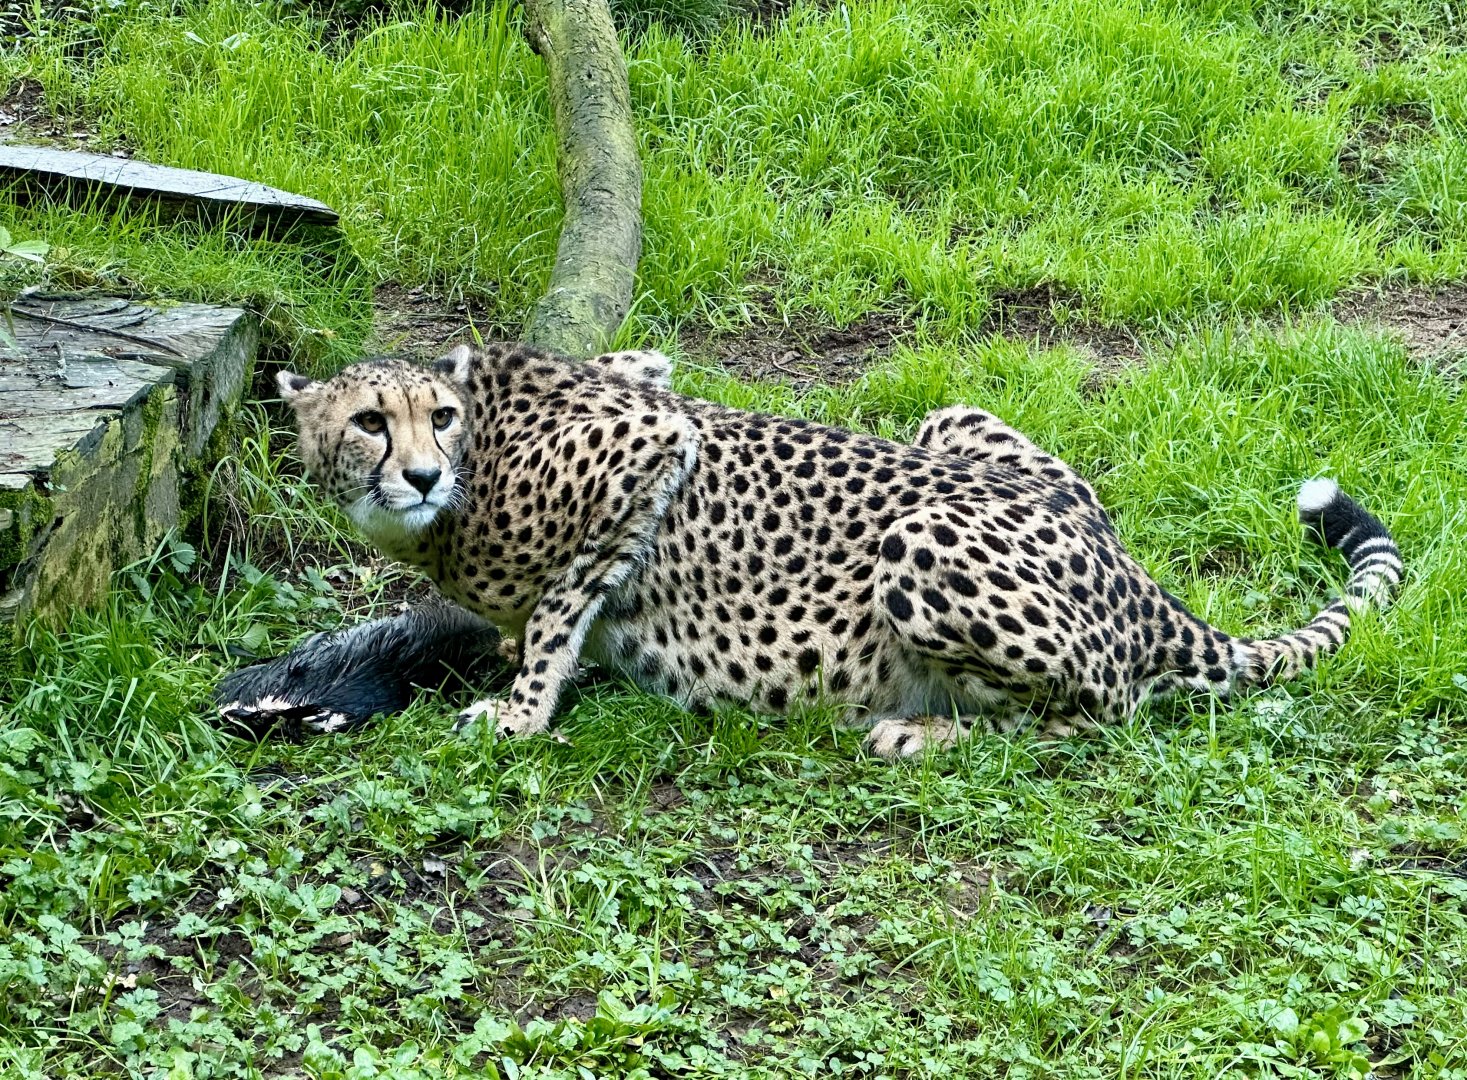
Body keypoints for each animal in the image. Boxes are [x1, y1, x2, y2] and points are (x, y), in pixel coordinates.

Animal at [275, 341, 1401, 757]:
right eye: (369, 422)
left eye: (439, 416)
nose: (422, 475)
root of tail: (1139, 582)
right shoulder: (643, 371)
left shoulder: (648, 442)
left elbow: (560, 605)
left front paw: (517, 709)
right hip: (955, 420)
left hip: (921, 540)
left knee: (1099, 711)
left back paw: (920, 731)